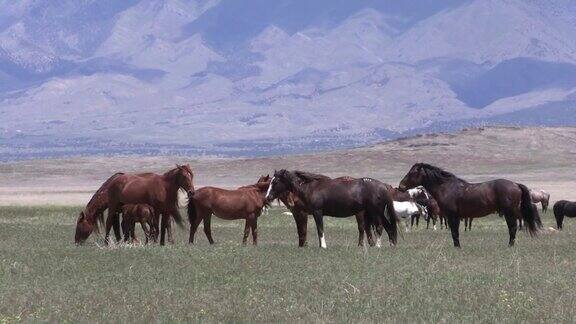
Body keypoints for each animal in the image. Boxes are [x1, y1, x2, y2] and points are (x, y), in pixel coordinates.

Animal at [264, 170, 396, 248]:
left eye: (275, 182)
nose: (267, 197)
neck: (310, 187)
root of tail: (383, 186)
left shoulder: (317, 212)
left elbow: (320, 229)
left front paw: (323, 246)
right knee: (388, 227)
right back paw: (391, 245)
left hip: (375, 212)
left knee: (380, 227)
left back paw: (378, 246)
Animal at [398, 163, 544, 247]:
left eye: (412, 173)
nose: (400, 186)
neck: (447, 187)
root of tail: (515, 184)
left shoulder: (452, 216)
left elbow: (454, 233)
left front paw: (457, 247)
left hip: (510, 213)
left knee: (512, 228)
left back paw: (510, 246)